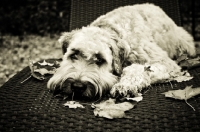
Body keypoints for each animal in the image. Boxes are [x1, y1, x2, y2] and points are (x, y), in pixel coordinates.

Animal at [47, 3, 196, 99]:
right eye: (74, 54)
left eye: (99, 59)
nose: (77, 86)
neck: (115, 30)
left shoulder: (165, 62)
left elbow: (138, 69)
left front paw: (124, 85)